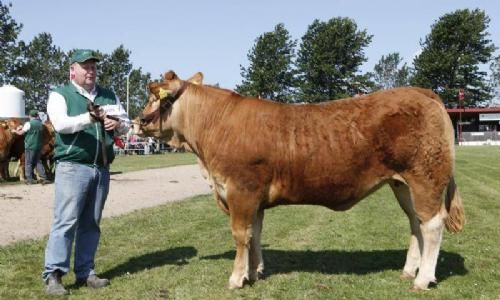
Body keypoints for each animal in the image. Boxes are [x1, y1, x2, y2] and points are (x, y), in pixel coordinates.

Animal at [134, 70, 464, 290]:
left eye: (152, 96)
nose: (136, 122)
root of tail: (422, 92)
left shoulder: (241, 189)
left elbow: (241, 234)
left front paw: (236, 278)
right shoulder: (254, 198)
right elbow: (255, 233)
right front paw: (254, 272)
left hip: (425, 177)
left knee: (432, 225)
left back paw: (422, 279)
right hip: (402, 184)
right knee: (416, 223)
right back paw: (410, 270)